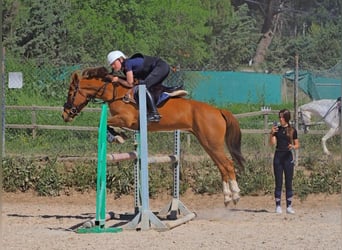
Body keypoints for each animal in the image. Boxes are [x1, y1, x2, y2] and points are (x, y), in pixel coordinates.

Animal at [61, 67, 243, 206]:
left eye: (70, 92)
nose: (65, 115)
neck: (115, 92)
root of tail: (218, 110)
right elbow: (110, 125)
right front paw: (119, 135)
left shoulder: (126, 118)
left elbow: (105, 123)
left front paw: (116, 136)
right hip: (207, 143)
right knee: (222, 166)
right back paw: (227, 197)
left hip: (211, 143)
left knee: (227, 164)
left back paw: (235, 195)